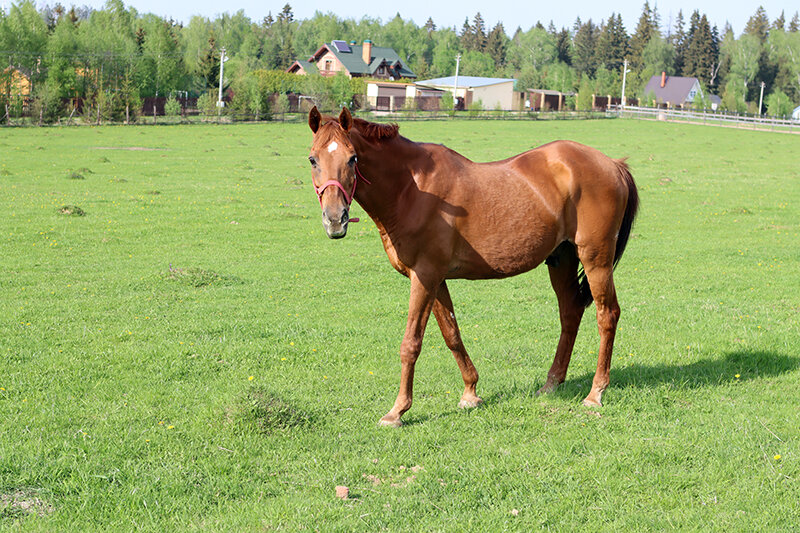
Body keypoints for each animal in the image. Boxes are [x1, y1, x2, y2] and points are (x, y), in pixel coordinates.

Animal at [306, 106, 636, 426]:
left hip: (596, 260)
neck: (411, 189)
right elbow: (451, 333)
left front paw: (398, 411)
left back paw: (595, 393)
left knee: (607, 315)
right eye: (313, 159)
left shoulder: (424, 277)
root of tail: (613, 165)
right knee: (570, 313)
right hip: (561, 259)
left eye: (353, 158)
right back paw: (552, 383)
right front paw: (470, 392)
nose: (335, 219)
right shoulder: (435, 279)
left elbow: (411, 343)